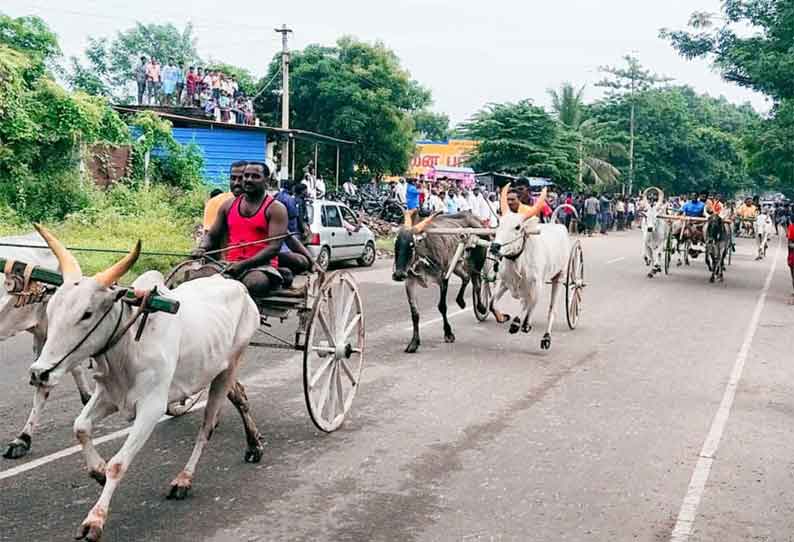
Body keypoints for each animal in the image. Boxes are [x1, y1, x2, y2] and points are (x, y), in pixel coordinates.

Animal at [28, 227, 260, 540]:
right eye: (51, 310)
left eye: (86, 314)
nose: (39, 373)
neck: (128, 346)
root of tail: (236, 286)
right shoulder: (108, 396)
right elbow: (80, 427)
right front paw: (97, 470)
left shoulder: (151, 408)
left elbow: (118, 465)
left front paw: (95, 520)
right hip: (216, 368)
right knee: (239, 396)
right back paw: (254, 445)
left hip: (230, 365)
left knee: (207, 427)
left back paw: (184, 479)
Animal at [488, 189, 568, 352]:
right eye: (499, 224)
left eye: (518, 227)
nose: (494, 247)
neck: (518, 261)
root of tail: (557, 226)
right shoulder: (504, 283)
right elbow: (492, 303)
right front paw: (504, 318)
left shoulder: (536, 285)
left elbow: (530, 304)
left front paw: (522, 324)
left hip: (559, 276)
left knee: (551, 310)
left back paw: (545, 337)